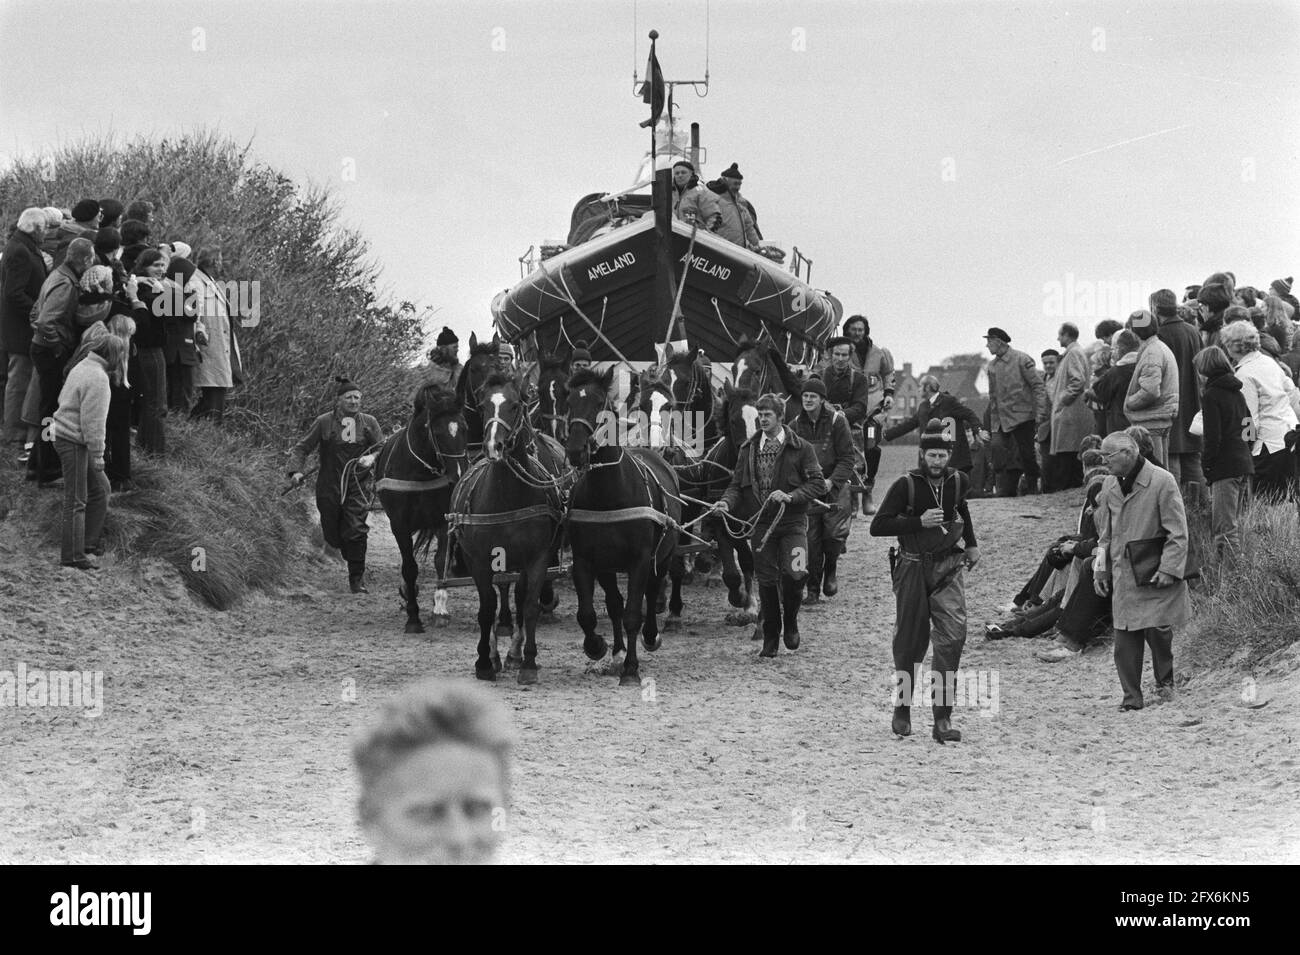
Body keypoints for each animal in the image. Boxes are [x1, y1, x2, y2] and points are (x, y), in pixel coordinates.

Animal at [377, 382, 473, 634]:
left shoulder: (442, 519)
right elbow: (409, 567)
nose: (459, 474)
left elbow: (441, 560)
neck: (420, 472)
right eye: (437, 433)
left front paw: (440, 609)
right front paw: (413, 617)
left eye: (465, 428)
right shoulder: (399, 524)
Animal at [447, 371, 569, 680]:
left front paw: (527, 662)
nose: (494, 446)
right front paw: (485, 660)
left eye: (515, 405)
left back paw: (514, 653)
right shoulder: (479, 559)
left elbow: (528, 604)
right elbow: (486, 606)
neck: (506, 495)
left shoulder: (537, 557)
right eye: (483, 407)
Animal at [566, 366, 686, 686]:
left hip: (662, 556)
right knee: (615, 604)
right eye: (569, 403)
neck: (608, 493)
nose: (576, 450)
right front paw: (598, 646)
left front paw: (631, 669)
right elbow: (590, 613)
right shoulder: (587, 560)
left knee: (652, 591)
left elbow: (633, 612)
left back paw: (650, 636)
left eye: (599, 403)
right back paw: (618, 651)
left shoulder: (640, 559)